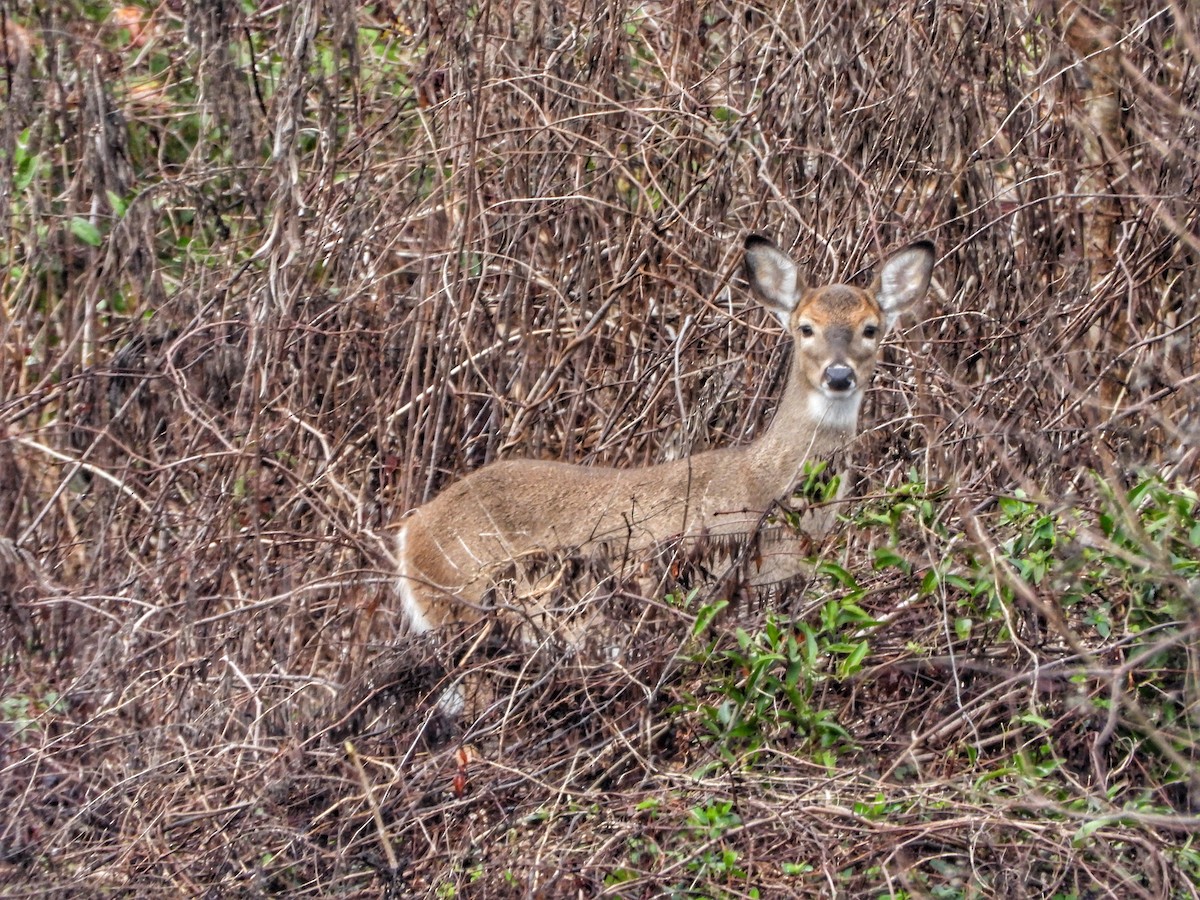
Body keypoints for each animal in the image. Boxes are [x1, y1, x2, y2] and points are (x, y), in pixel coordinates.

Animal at [395, 233, 934, 659]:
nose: (839, 376)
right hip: (461, 607)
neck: (766, 489)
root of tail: (409, 533)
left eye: (871, 328)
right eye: (806, 328)